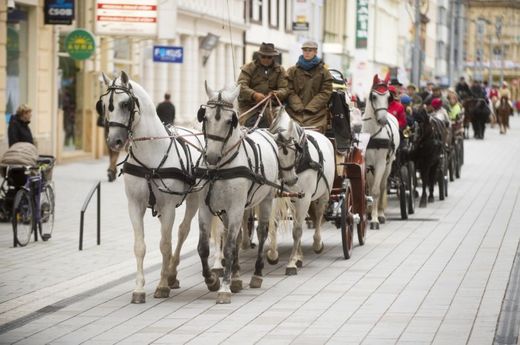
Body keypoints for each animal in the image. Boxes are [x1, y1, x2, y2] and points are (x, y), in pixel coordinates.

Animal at [97, 71, 203, 302]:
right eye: (104, 104)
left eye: (126, 103)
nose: (114, 141)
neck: (151, 155)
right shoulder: (135, 205)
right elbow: (140, 246)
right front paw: (139, 289)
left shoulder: (169, 206)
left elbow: (165, 245)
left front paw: (162, 285)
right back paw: (172, 275)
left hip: (194, 199)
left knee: (183, 231)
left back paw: (173, 274)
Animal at [196, 83, 282, 304]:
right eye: (205, 117)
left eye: (230, 121)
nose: (211, 157)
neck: (218, 169)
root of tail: (265, 132)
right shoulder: (205, 208)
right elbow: (204, 247)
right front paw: (212, 280)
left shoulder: (235, 207)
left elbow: (228, 247)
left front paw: (224, 288)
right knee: (233, 237)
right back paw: (235, 276)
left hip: (266, 198)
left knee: (261, 233)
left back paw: (257, 274)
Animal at [266, 109, 336, 272]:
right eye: (275, 155)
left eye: (295, 152)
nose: (291, 180)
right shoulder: (275, 196)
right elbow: (274, 223)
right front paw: (273, 255)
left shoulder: (304, 198)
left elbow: (297, 231)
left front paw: (291, 262)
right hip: (293, 198)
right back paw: (299, 256)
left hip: (323, 195)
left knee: (318, 216)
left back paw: (316, 244)